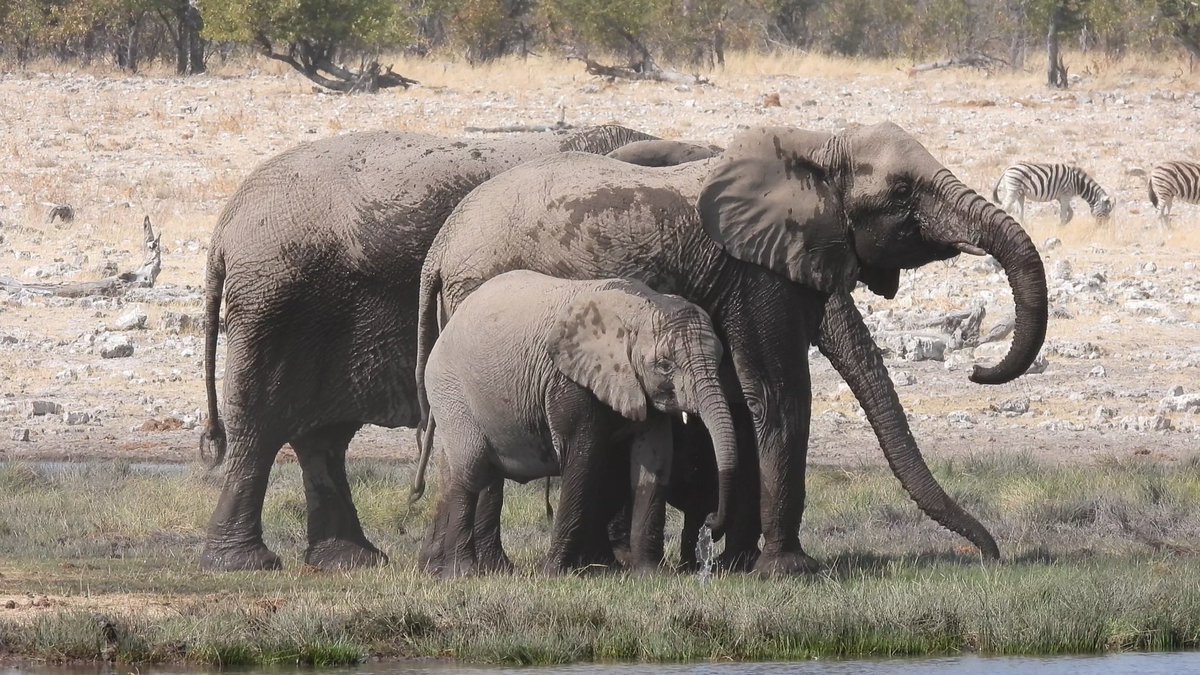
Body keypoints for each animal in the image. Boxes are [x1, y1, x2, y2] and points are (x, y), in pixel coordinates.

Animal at [196, 125, 657, 572]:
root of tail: (226, 227)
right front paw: (613, 562)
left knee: (322, 435)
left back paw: (351, 561)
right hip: (275, 300)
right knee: (262, 424)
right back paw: (245, 563)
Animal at [412, 270, 736, 576]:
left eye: (720, 358)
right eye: (665, 365)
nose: (710, 522)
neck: (642, 305)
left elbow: (653, 462)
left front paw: (649, 574)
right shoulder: (568, 380)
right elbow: (583, 458)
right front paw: (551, 573)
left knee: (482, 477)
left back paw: (479, 570)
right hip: (451, 389)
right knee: (471, 469)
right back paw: (461, 574)